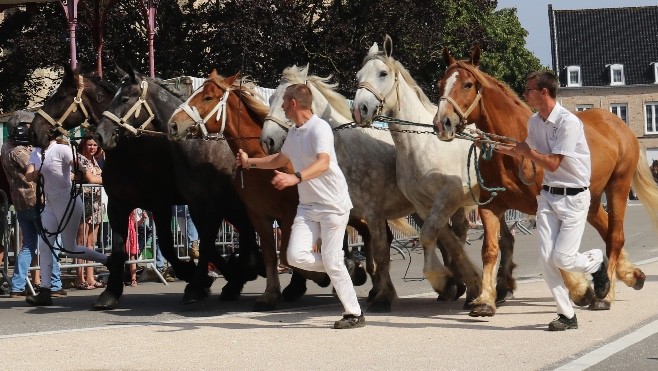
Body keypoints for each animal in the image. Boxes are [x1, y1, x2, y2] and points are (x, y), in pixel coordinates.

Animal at [352, 37, 494, 306]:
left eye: (383, 73)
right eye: (358, 76)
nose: (360, 109)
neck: (419, 146)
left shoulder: (447, 197)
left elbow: (431, 236)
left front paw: (444, 281)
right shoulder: (424, 205)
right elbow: (445, 240)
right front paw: (463, 283)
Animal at [430, 45, 656, 316]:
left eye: (467, 84)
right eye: (440, 83)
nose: (442, 123)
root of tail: (620, 126)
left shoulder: (544, 207)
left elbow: (555, 252)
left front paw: (580, 290)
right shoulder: (490, 206)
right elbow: (490, 250)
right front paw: (485, 300)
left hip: (618, 188)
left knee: (615, 236)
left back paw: (607, 293)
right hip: (590, 201)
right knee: (606, 231)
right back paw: (630, 276)